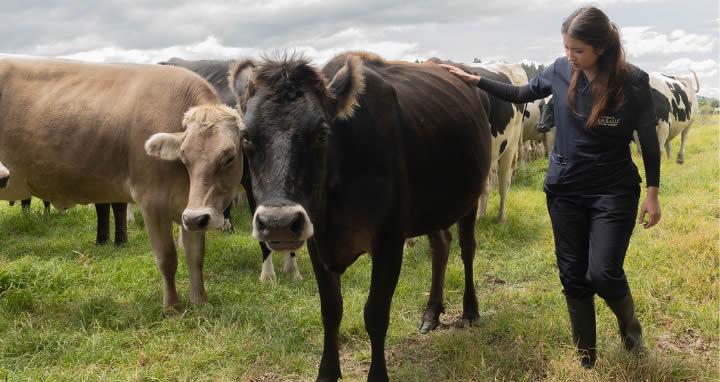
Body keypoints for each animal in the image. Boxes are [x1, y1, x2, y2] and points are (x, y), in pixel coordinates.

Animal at [0, 59, 245, 310]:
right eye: (184, 156)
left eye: (229, 156)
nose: (198, 217)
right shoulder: (152, 201)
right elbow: (166, 257)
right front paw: (172, 307)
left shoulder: (189, 210)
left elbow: (195, 256)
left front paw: (200, 302)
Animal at [233, 53, 492, 382]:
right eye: (246, 136)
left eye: (322, 133)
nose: (278, 223)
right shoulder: (317, 243)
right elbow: (330, 311)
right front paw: (327, 373)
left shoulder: (390, 241)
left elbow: (376, 313)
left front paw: (377, 375)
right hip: (430, 206)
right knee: (441, 245)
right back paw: (431, 313)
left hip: (470, 196)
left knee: (467, 248)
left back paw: (470, 311)